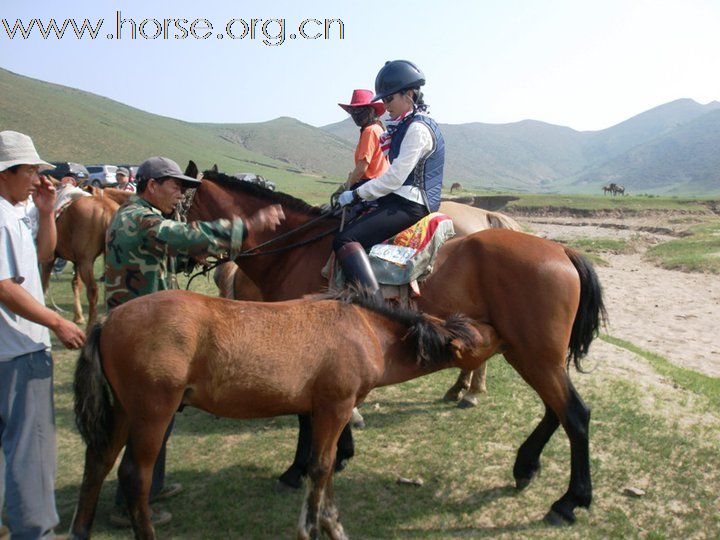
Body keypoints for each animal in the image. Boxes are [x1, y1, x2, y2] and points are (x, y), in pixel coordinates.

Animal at [69, 292, 496, 540]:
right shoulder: (335, 408)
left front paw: (331, 523)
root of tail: (107, 321)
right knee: (133, 477)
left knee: (97, 464)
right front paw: (313, 527)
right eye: (480, 337)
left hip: (123, 413)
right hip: (152, 415)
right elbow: (320, 468)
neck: (366, 331)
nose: (500, 328)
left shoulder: (325, 412)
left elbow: (325, 466)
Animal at [187, 170, 608, 528]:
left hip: (535, 356)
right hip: (530, 354)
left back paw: (569, 501)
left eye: (184, 207)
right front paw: (343, 452)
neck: (295, 252)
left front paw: (295, 471)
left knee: (575, 414)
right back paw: (525, 465)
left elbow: (306, 420)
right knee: (556, 409)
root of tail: (561, 250)